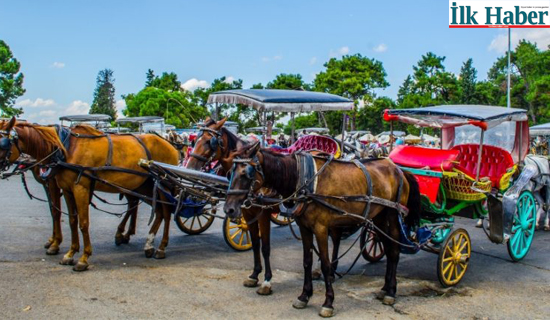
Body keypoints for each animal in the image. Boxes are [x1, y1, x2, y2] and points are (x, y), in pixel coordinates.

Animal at [0, 116, 179, 272]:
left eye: (3, 144)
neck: (65, 149)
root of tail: (169, 144)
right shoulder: (66, 189)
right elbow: (71, 220)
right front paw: (69, 252)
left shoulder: (79, 188)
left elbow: (81, 222)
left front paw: (82, 257)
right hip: (144, 184)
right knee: (154, 210)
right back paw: (145, 243)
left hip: (164, 183)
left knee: (166, 212)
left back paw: (160, 247)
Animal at [224, 143, 422, 318]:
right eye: (229, 172)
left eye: (246, 173)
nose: (229, 209)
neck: (304, 179)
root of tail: (398, 169)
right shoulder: (304, 227)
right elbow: (307, 261)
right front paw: (304, 296)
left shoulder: (320, 228)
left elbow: (326, 264)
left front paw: (328, 303)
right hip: (378, 216)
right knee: (387, 247)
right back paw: (384, 288)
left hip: (393, 214)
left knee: (394, 250)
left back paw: (391, 292)